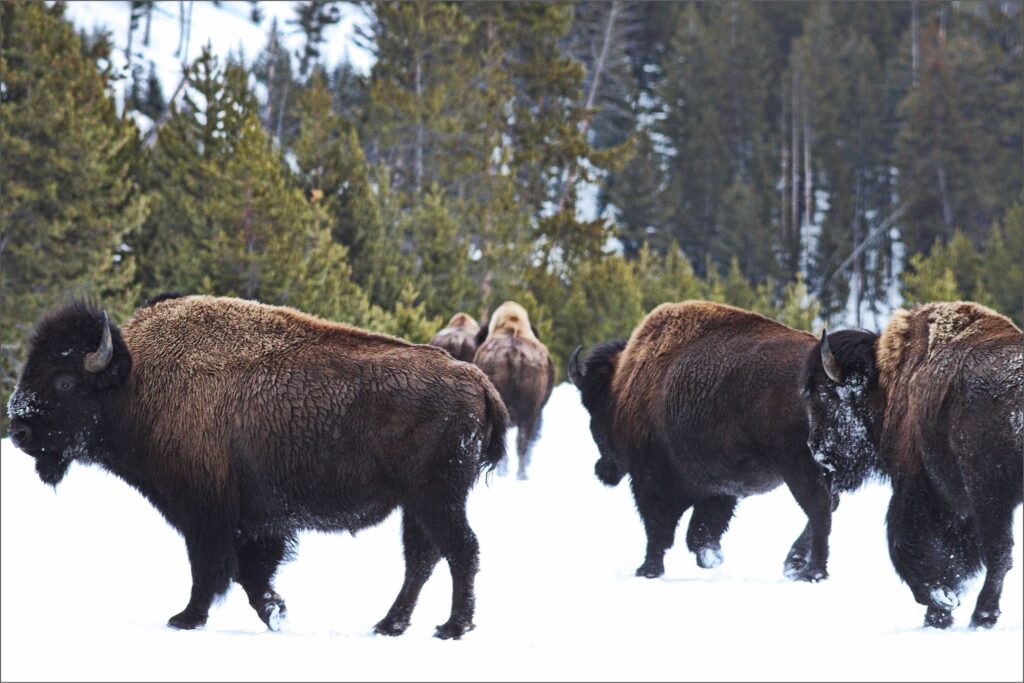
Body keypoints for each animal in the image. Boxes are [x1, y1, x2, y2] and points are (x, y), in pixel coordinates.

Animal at [4, 294, 507, 643]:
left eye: (64, 380)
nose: (19, 429)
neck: (136, 383)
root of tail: (478, 380)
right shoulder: (256, 521)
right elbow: (250, 574)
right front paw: (276, 613)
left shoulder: (207, 512)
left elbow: (210, 569)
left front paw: (186, 619)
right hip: (415, 504)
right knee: (422, 559)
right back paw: (389, 625)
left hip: (435, 497)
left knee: (461, 550)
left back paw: (451, 628)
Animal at [569, 303, 839, 581]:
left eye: (593, 406)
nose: (603, 470)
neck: (625, 387)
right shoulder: (720, 486)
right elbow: (702, 527)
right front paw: (711, 558)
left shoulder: (650, 479)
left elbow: (658, 527)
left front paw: (647, 570)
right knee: (829, 505)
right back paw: (794, 564)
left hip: (798, 466)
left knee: (819, 507)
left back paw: (811, 571)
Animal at [802, 303, 1019, 630]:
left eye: (825, 395)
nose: (817, 451)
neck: (886, 384)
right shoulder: (958, 503)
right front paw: (939, 611)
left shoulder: (921, 488)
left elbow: (904, 543)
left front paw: (939, 602)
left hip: (989, 493)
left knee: (999, 551)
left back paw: (982, 616)